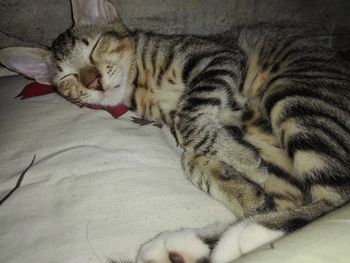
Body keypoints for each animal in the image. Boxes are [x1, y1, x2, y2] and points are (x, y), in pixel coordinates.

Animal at [0, 0, 350, 263]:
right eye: (68, 77)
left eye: (94, 47)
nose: (94, 81)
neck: (141, 84)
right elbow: (193, 154)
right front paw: (240, 182)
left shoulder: (216, 57)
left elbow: (191, 118)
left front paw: (241, 161)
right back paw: (193, 245)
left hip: (296, 97)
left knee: (336, 200)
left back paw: (243, 236)